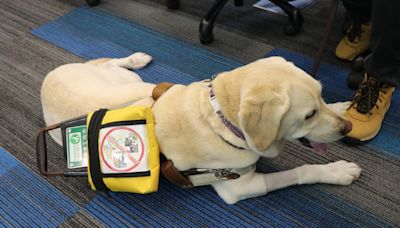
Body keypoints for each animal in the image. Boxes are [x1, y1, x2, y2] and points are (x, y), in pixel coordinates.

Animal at [41, 52, 362, 204]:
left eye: (321, 96)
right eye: (309, 115)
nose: (347, 128)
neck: (220, 117)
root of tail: (50, 74)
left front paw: (342, 105)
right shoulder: (240, 186)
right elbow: (300, 172)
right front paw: (338, 171)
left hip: (131, 84)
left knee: (111, 63)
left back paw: (137, 58)